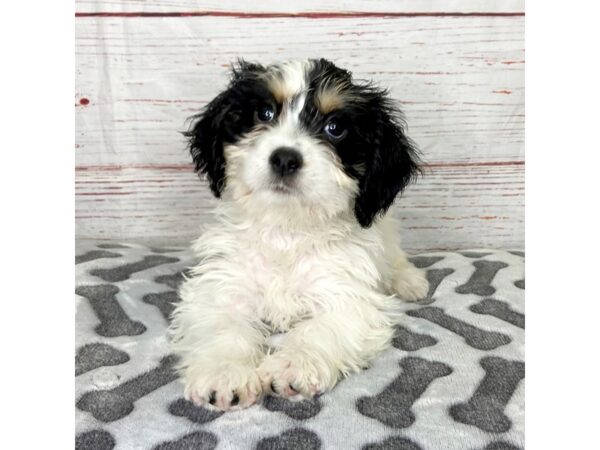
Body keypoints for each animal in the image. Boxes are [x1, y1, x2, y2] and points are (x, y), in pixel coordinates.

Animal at [169, 59, 428, 412]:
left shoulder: (346, 293)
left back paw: (410, 281)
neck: (287, 229)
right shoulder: (224, 284)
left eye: (335, 128)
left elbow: (323, 327)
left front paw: (294, 364)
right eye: (264, 113)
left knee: (395, 257)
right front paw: (224, 373)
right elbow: (224, 324)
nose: (284, 158)